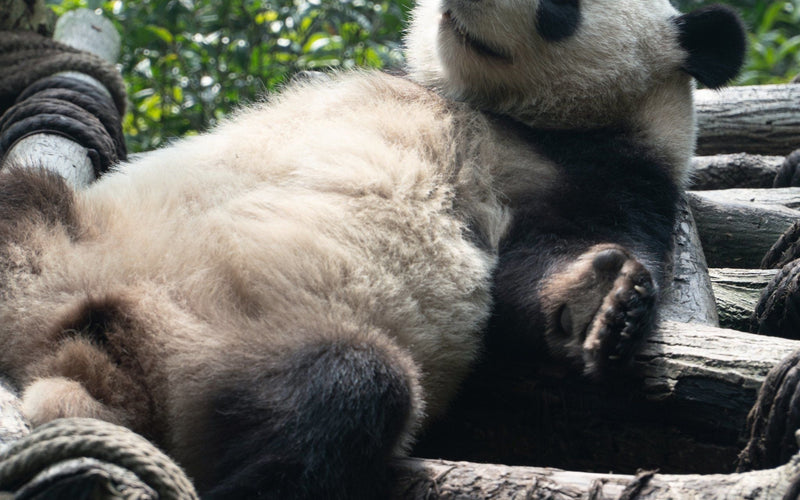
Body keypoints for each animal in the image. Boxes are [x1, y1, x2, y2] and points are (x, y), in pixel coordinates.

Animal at [0, 0, 744, 499]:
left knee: (339, 398)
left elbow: (544, 270)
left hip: (234, 355)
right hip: (66, 234)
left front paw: (601, 301)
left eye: (561, 7)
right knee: (24, 197)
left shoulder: (606, 168)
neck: (495, 105)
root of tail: (82, 358)